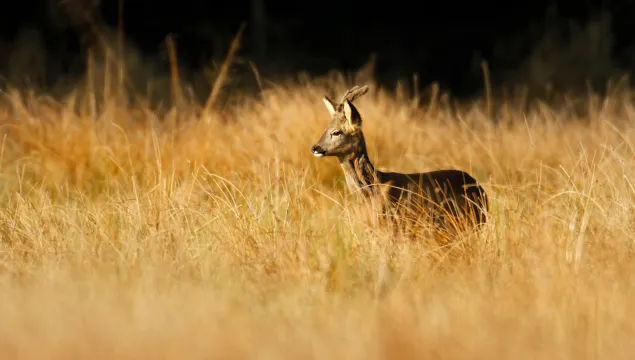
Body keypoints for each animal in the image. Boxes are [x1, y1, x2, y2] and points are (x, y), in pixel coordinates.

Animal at [310, 84, 490, 236]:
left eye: (336, 132)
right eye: (326, 128)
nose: (315, 148)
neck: (372, 190)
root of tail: (481, 189)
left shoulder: (394, 226)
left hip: (470, 223)